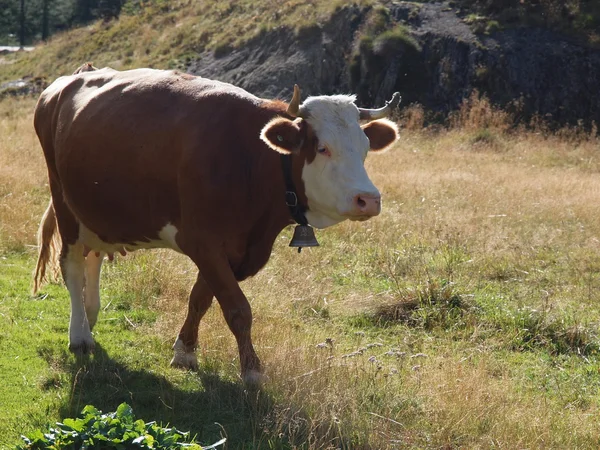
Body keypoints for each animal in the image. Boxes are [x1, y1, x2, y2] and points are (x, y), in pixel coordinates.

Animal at [31, 64, 398, 384]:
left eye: (365, 148)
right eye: (322, 148)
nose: (369, 199)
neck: (250, 159)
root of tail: (69, 79)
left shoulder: (231, 249)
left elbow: (200, 298)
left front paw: (185, 351)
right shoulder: (202, 241)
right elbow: (237, 309)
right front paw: (251, 370)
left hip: (97, 214)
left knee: (92, 258)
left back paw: (90, 317)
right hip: (64, 202)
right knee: (72, 265)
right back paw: (79, 335)